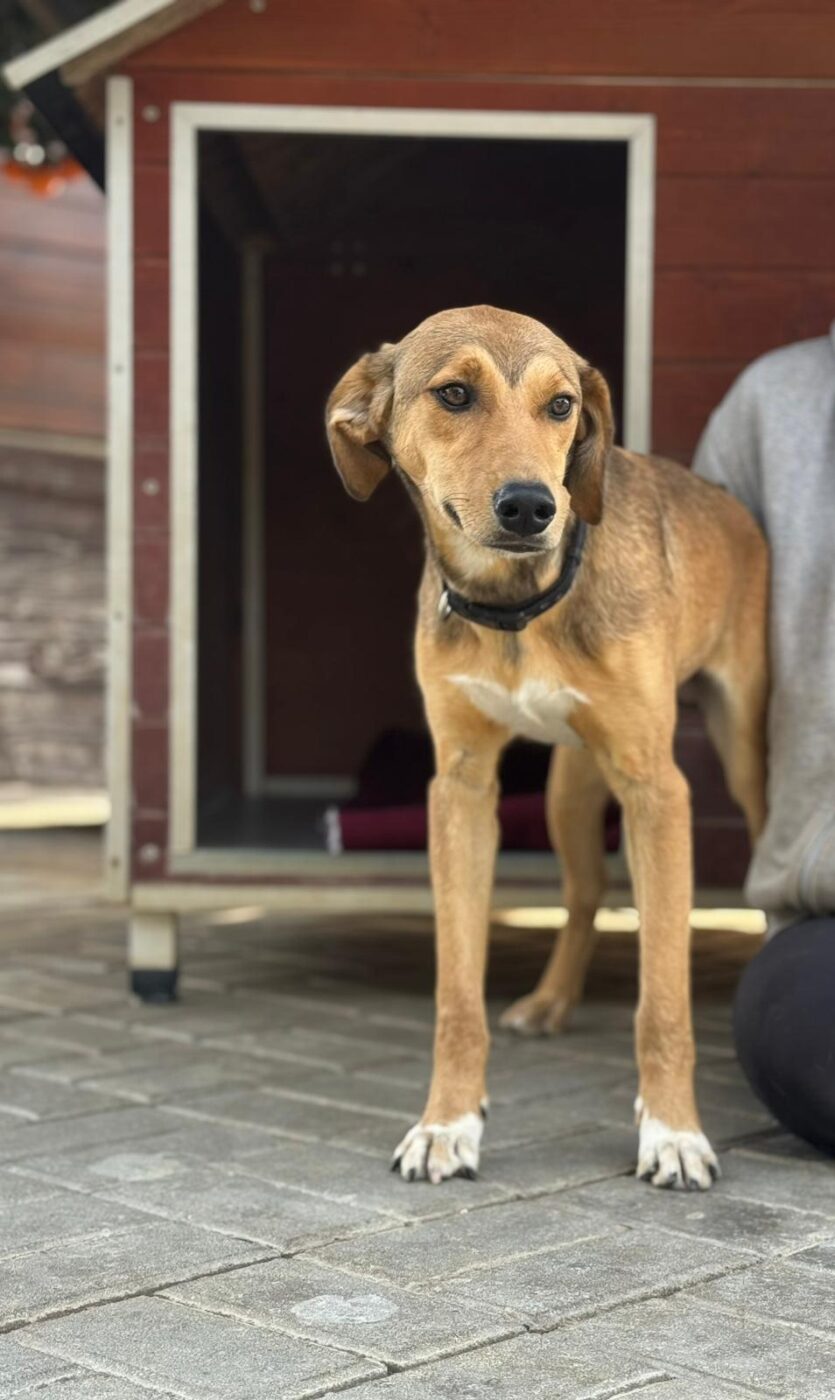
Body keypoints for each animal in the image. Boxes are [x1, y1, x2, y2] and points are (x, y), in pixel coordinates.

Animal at [326, 306, 768, 1190]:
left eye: (561, 405)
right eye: (453, 394)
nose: (533, 506)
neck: (518, 609)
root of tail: (728, 501)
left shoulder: (657, 790)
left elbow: (661, 998)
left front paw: (672, 1130)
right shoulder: (460, 788)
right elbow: (456, 993)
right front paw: (447, 1122)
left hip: (738, 748)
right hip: (568, 791)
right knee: (584, 894)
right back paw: (551, 999)